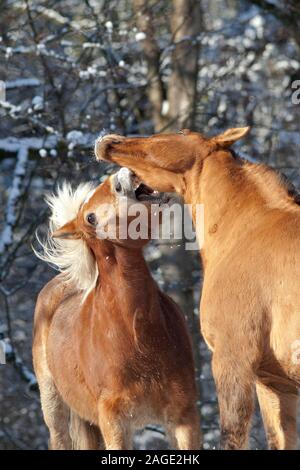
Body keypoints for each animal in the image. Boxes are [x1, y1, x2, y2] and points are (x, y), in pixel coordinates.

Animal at [32, 167, 200, 450]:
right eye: (90, 217)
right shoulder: (115, 422)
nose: (122, 176)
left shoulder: (183, 417)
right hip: (54, 405)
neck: (136, 334)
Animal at [95, 126, 300, 450]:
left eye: (181, 132)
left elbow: (232, 434)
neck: (246, 231)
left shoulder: (232, 360)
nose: (109, 140)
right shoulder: (274, 381)